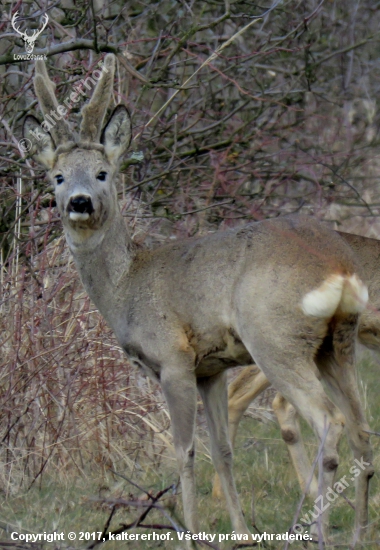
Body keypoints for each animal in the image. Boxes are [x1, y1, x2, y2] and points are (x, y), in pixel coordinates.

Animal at [23, 54, 374, 544]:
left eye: (102, 173)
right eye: (57, 176)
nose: (79, 202)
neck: (127, 287)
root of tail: (339, 267)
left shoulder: (173, 357)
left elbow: (184, 449)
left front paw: (190, 533)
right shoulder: (212, 369)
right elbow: (222, 449)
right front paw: (241, 533)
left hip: (276, 340)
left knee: (330, 424)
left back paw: (318, 532)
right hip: (338, 345)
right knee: (362, 430)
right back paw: (357, 534)